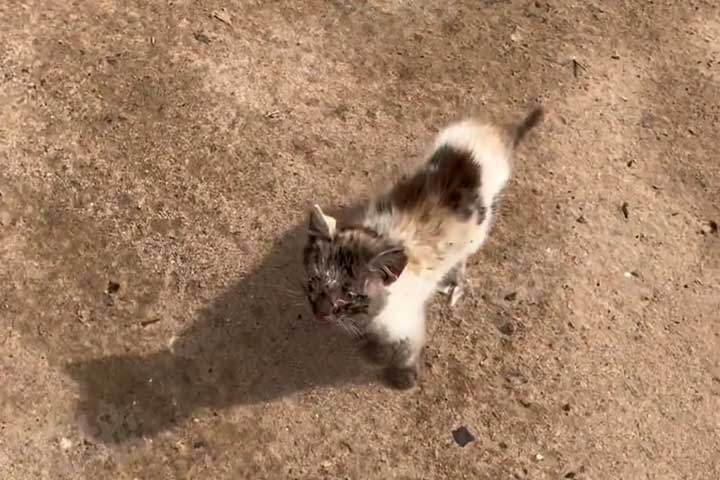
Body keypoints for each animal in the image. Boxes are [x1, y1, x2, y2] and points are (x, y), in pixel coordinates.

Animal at [300, 106, 544, 390]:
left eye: (348, 294)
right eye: (314, 279)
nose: (319, 313)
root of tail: (494, 132)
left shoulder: (408, 319)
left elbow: (407, 346)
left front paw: (402, 374)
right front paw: (371, 345)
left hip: (482, 227)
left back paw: (455, 282)